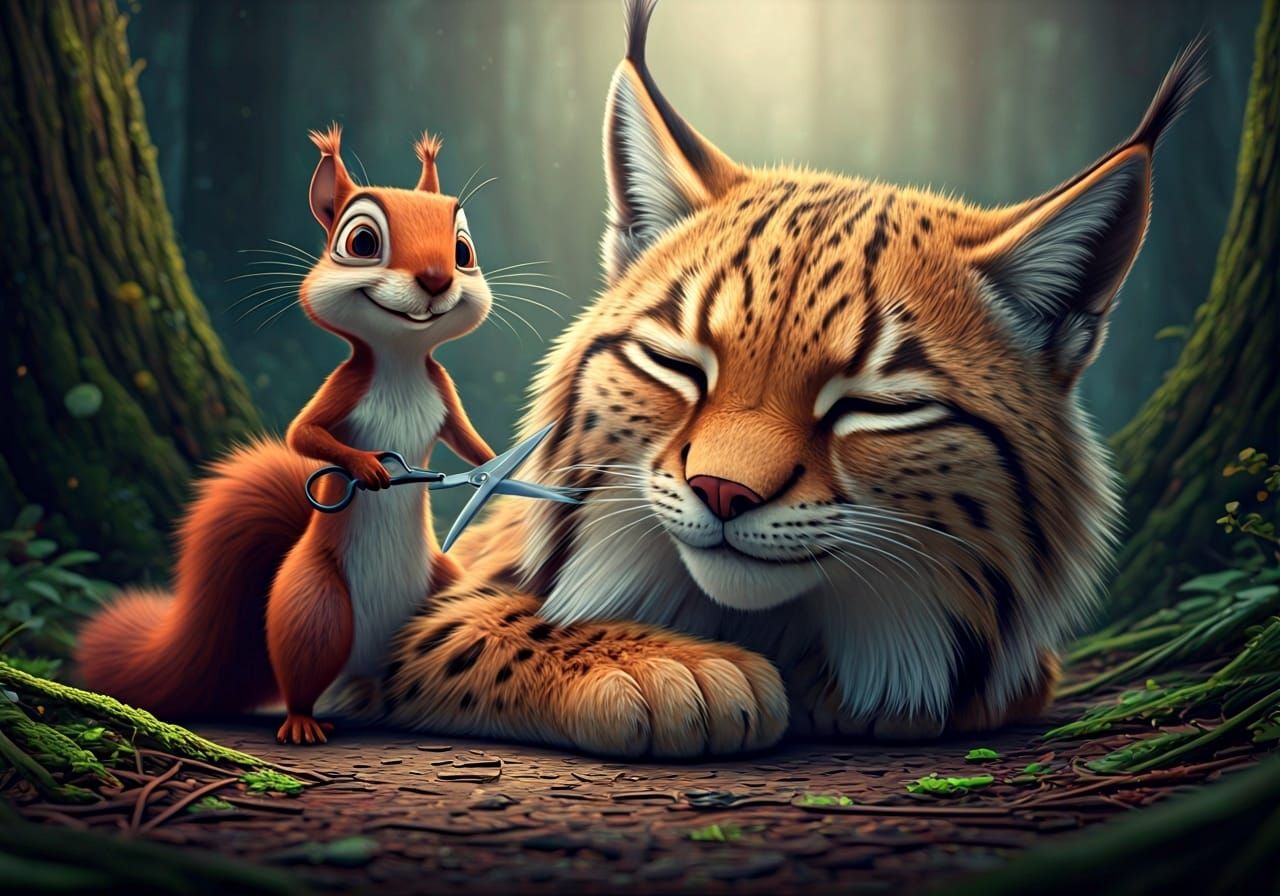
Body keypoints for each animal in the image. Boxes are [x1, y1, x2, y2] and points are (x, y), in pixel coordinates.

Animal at [76, 125, 496, 744]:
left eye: (464, 251)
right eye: (362, 241)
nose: (438, 280)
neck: (400, 360)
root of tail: (362, 665)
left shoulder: (443, 393)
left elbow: (469, 443)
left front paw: (506, 464)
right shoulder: (345, 387)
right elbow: (304, 435)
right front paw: (369, 467)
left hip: (447, 586)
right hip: (314, 609)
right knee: (299, 675)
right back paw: (302, 723)